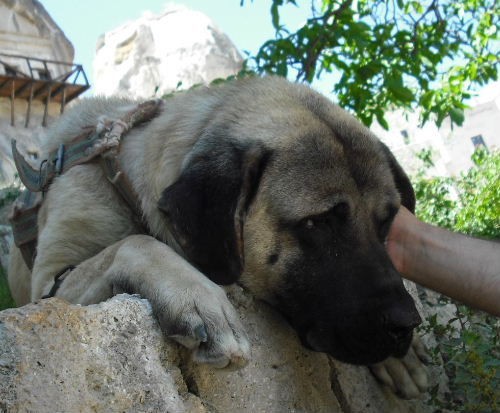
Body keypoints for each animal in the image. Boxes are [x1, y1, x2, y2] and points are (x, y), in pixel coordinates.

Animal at [7, 75, 428, 398]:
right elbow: (135, 243)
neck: (121, 179)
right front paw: (201, 300)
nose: (406, 324)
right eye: (317, 223)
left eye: (385, 223)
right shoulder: (50, 284)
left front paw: (400, 359)